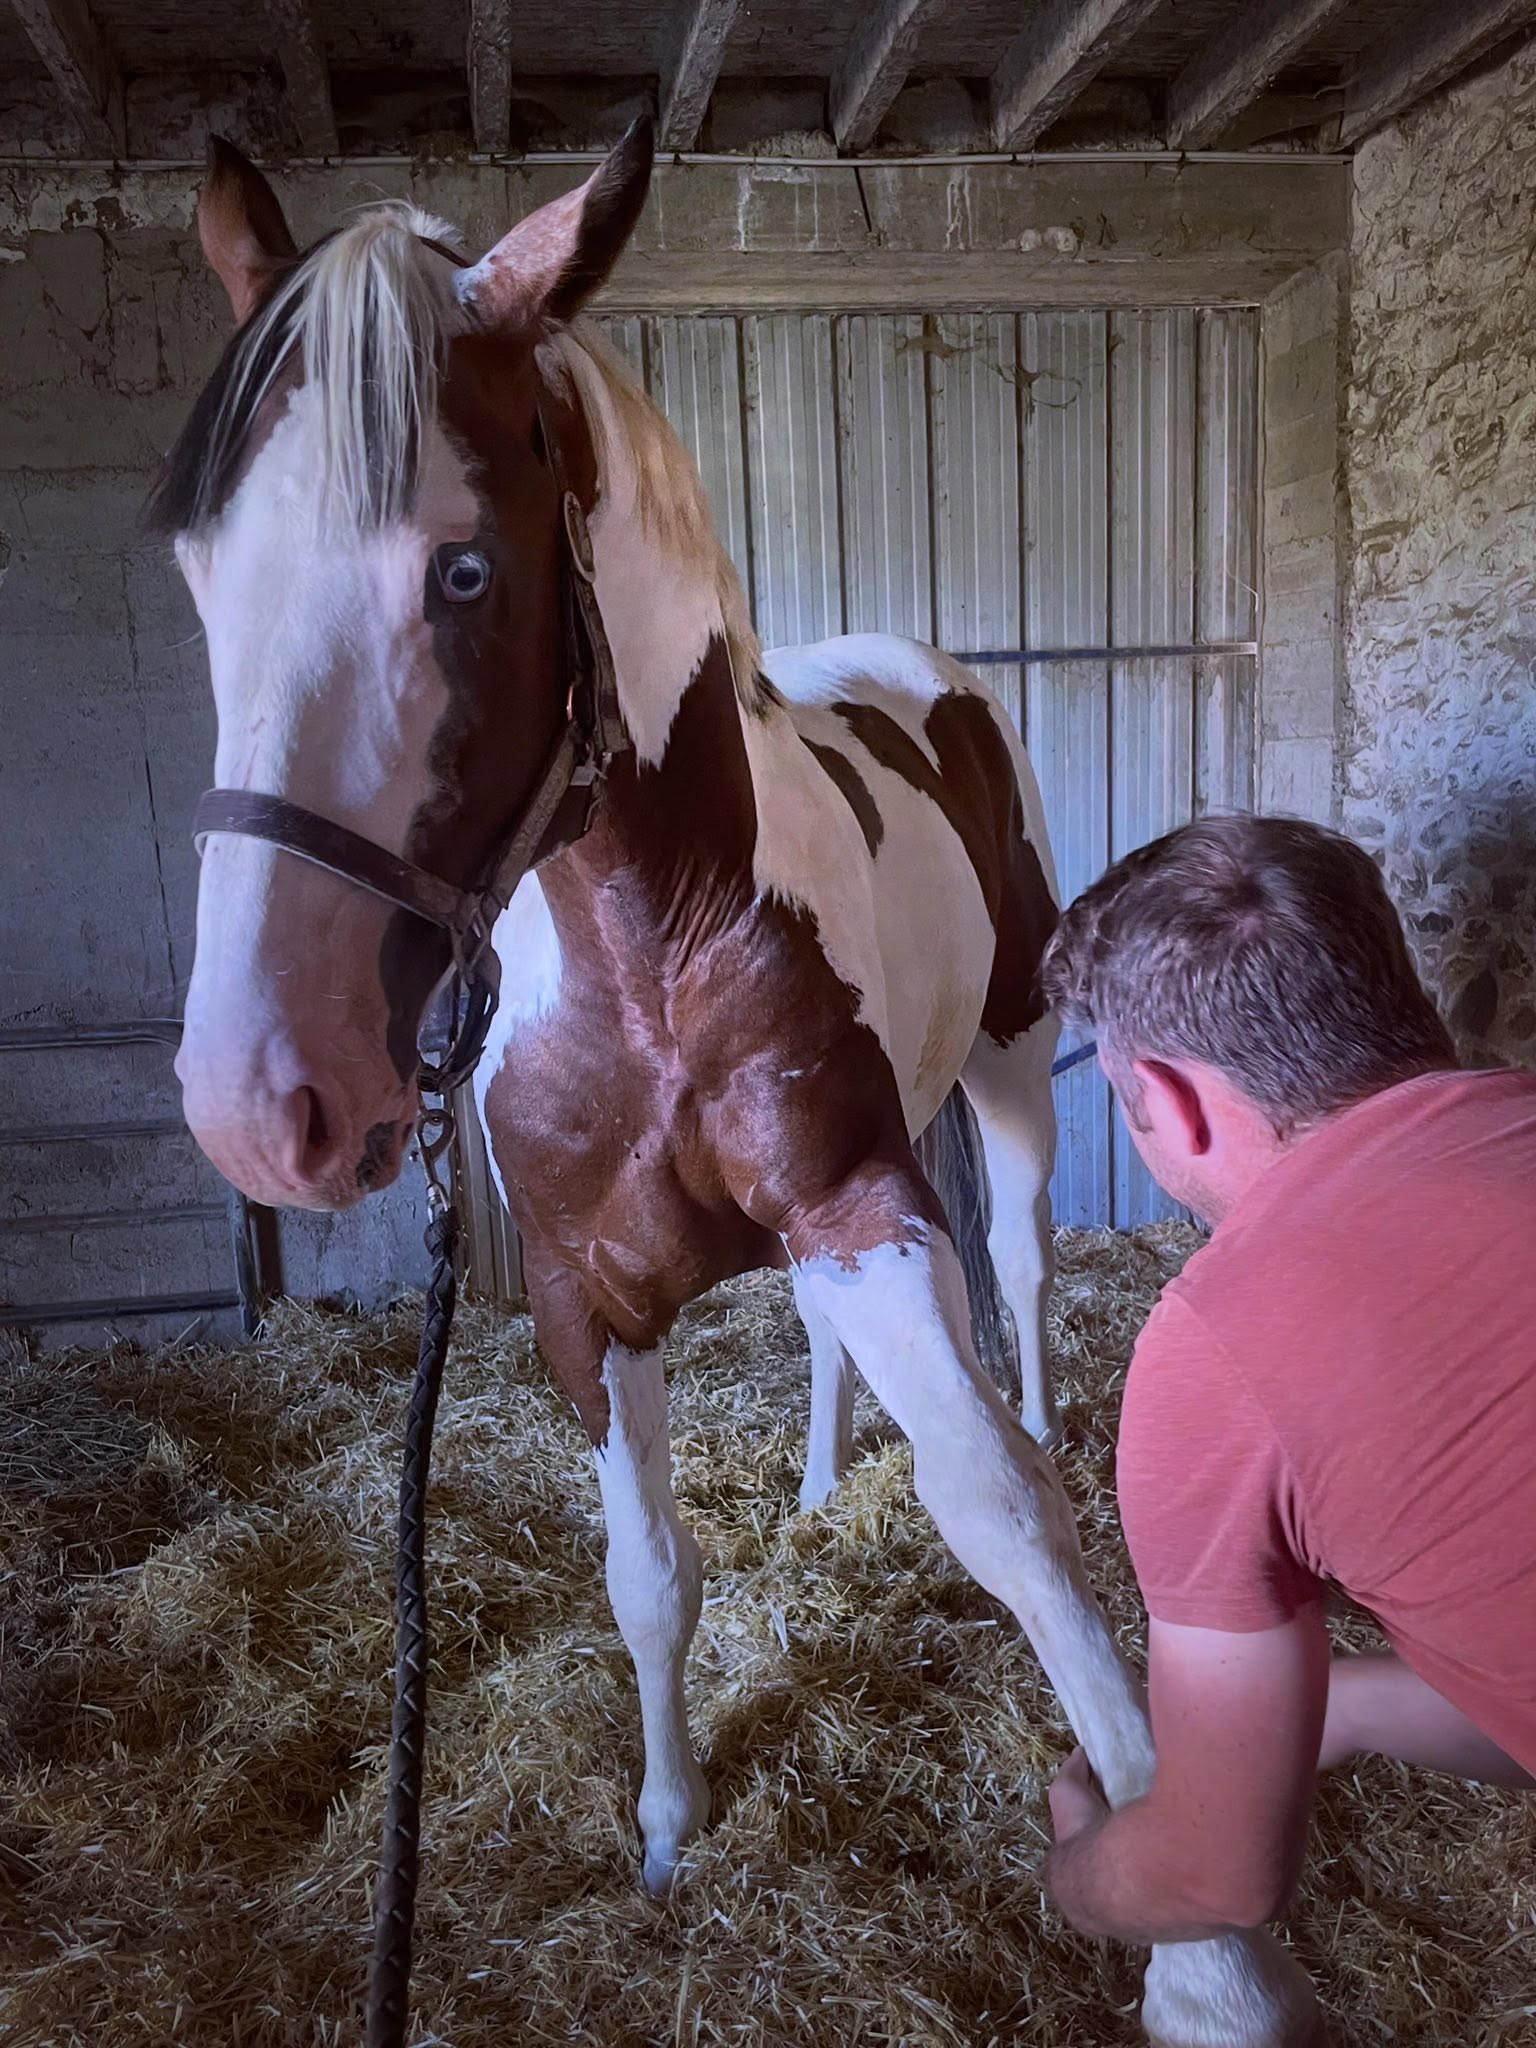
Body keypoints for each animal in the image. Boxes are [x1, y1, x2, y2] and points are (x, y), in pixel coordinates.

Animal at [155, 122, 1318, 2048]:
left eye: (464, 574)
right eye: (196, 572)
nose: (263, 1100)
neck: (656, 936)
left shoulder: (863, 1204)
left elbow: (1000, 1505)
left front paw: (1211, 1955)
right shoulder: (584, 1294)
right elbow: (649, 1574)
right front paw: (666, 1823)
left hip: (1004, 1070)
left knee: (1019, 1261)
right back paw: (820, 1481)